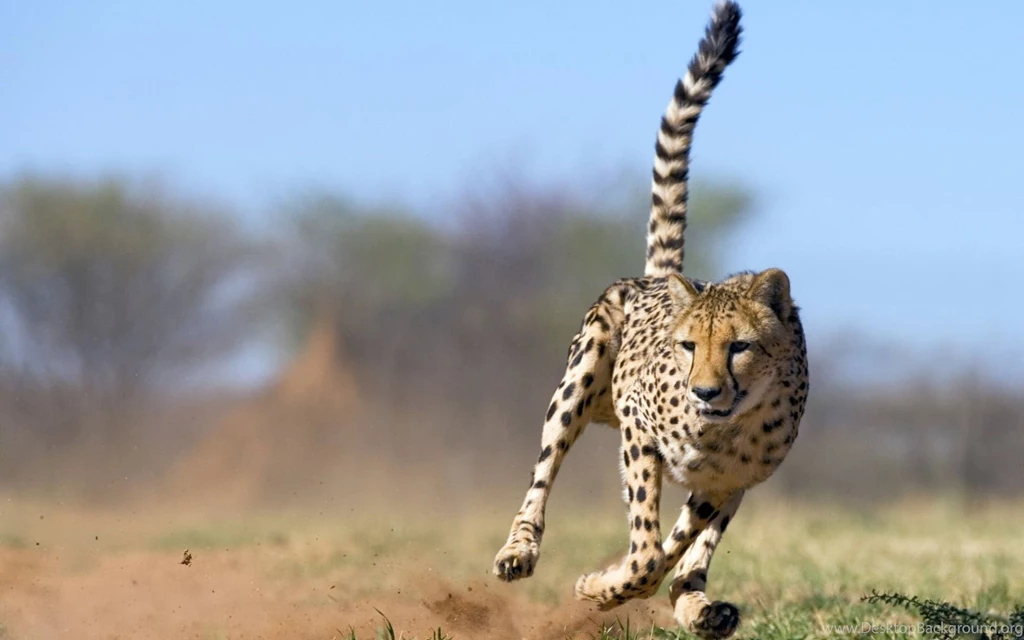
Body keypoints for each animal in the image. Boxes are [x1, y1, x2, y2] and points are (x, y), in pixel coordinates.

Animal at [491, 2, 809, 638]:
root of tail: (662, 277)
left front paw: (616, 587)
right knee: (544, 472)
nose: (705, 391)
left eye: (739, 346)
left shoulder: (727, 480)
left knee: (689, 552)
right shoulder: (639, 431)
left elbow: (671, 548)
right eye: (688, 347)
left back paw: (700, 605)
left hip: (729, 487)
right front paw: (601, 587)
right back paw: (520, 550)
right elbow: (645, 551)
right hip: (580, 379)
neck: (726, 425)